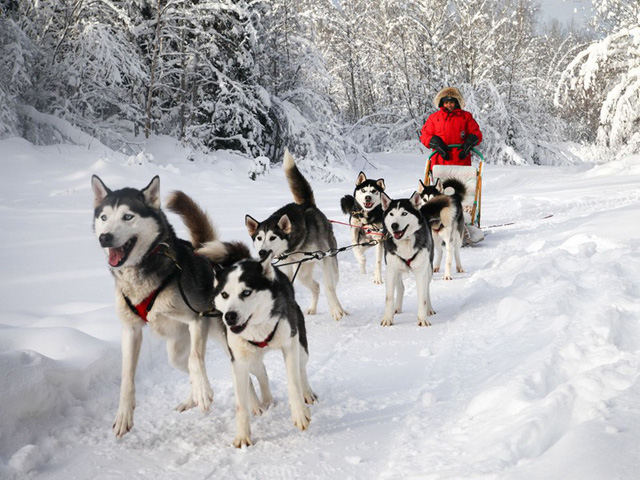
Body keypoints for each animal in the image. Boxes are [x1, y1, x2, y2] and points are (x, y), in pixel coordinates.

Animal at [91, 174, 229, 436]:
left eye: (128, 216)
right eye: (104, 217)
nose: (105, 238)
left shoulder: (196, 318)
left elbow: (196, 359)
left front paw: (203, 391)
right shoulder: (131, 330)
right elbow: (126, 377)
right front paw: (124, 414)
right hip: (175, 351)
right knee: (189, 365)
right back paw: (193, 398)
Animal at [200, 242, 318, 448]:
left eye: (246, 292)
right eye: (224, 294)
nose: (229, 316)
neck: (258, 329)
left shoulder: (290, 345)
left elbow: (293, 382)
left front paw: (299, 413)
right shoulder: (238, 361)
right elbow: (240, 403)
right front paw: (243, 436)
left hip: (300, 345)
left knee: (301, 368)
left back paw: (307, 393)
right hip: (251, 359)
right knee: (261, 372)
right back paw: (266, 401)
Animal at [245, 149, 344, 322]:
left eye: (273, 237)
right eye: (259, 238)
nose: (262, 252)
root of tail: (307, 204)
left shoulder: (324, 258)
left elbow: (329, 287)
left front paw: (336, 311)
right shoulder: (286, 268)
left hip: (331, 263)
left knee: (331, 282)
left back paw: (339, 308)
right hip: (302, 274)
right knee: (316, 286)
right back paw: (312, 308)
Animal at [380, 191, 436, 326]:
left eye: (404, 213)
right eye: (391, 214)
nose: (394, 225)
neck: (404, 242)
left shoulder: (421, 271)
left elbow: (422, 297)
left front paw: (422, 319)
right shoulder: (391, 270)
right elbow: (389, 297)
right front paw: (387, 319)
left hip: (429, 268)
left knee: (427, 289)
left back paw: (429, 309)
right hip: (396, 269)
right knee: (400, 287)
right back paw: (396, 308)